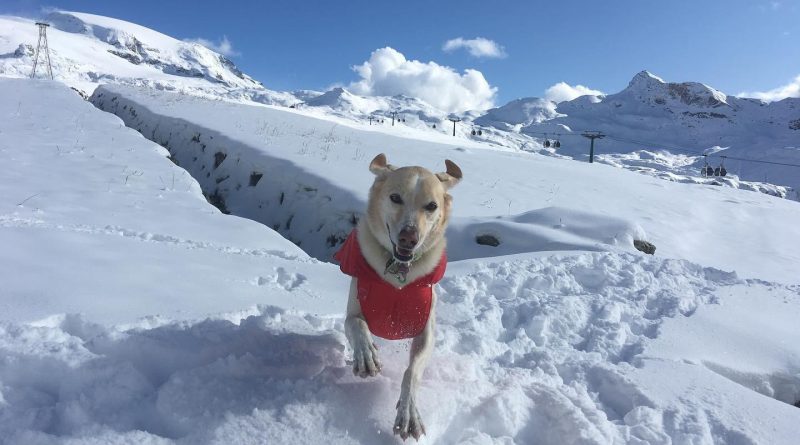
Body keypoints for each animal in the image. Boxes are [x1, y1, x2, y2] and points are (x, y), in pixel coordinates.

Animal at [334, 154, 462, 438]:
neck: (398, 272)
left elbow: (411, 373)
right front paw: (367, 355)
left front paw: (409, 414)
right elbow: (356, 325)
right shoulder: (354, 308)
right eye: (395, 198)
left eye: (431, 205)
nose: (408, 238)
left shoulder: (425, 330)